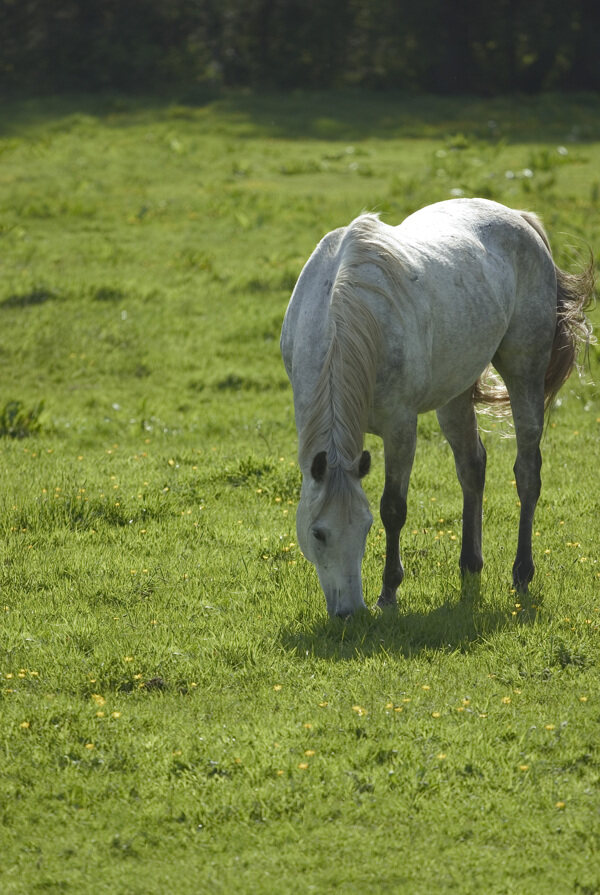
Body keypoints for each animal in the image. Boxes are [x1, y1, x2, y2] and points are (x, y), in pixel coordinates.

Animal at [280, 198, 592, 616]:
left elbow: (393, 508)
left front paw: (388, 593)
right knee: (472, 467)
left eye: (364, 528)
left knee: (527, 472)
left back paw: (522, 572)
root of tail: (520, 218)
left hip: (524, 372)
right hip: (455, 391)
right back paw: (470, 564)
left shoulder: (400, 426)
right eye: (318, 533)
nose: (350, 612)